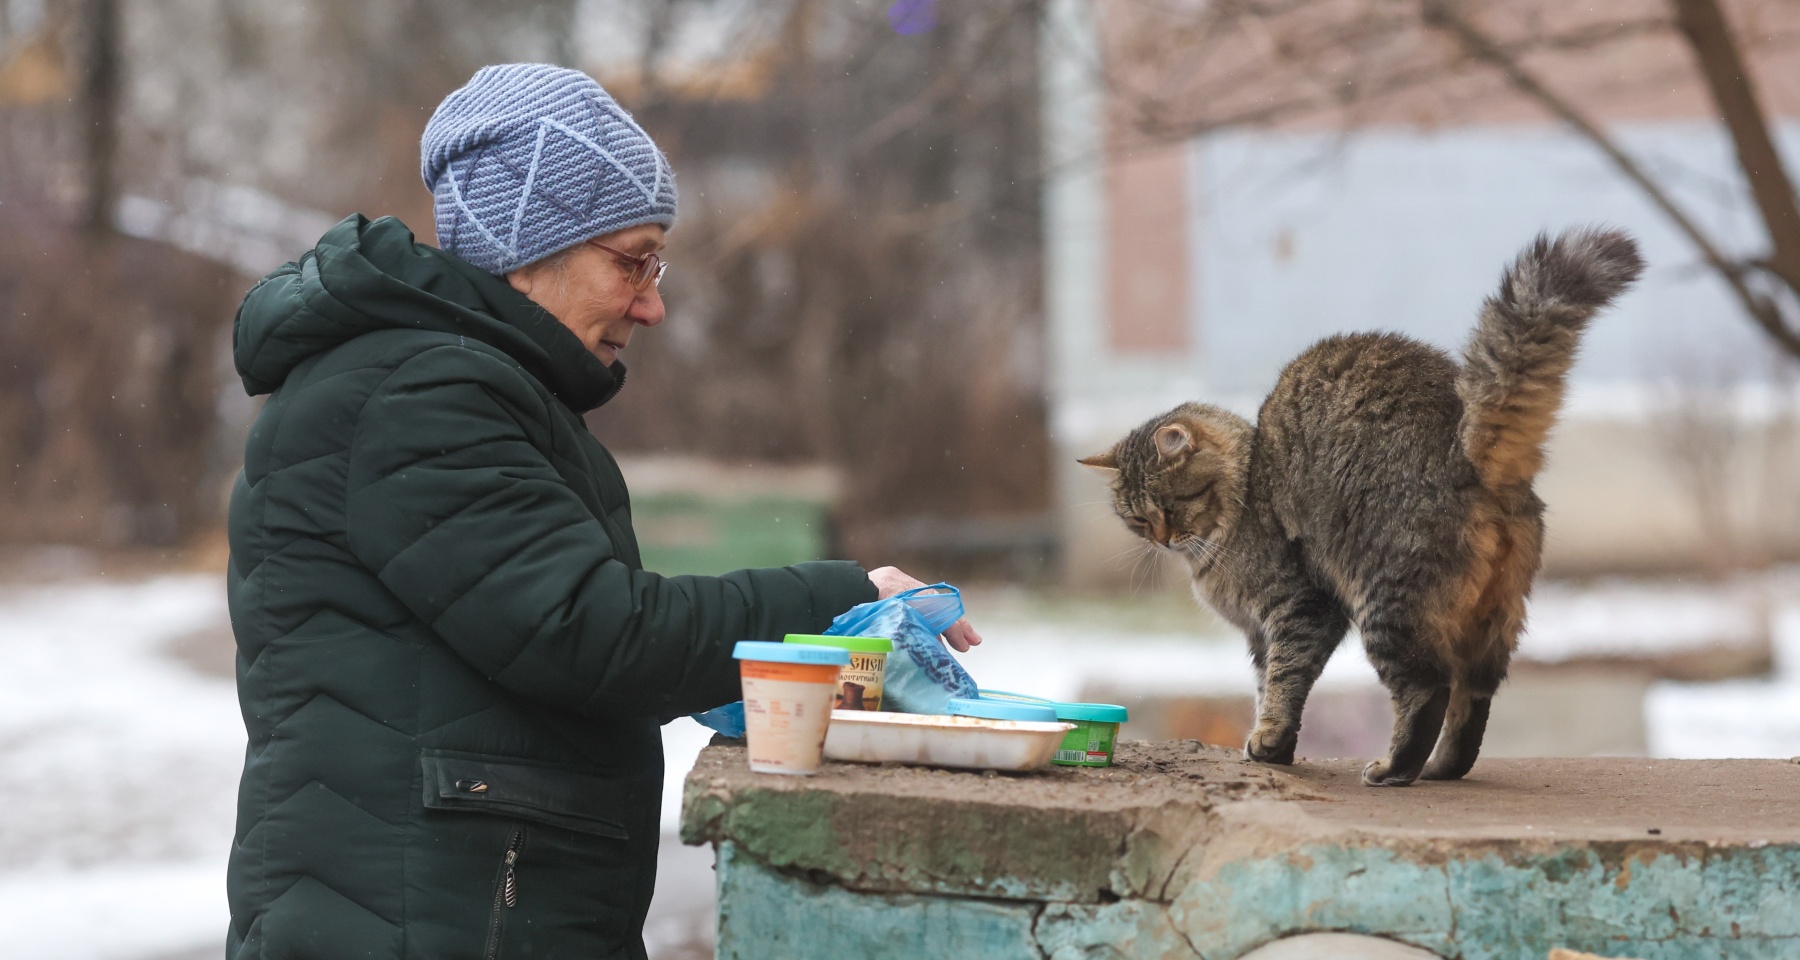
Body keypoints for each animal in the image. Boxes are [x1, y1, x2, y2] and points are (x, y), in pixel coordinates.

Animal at [1080, 228, 1648, 781]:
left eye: (1171, 505)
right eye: (1137, 518)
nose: (1161, 539)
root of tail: (1465, 449)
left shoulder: (1303, 608)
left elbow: (1283, 680)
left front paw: (1270, 740)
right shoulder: (1263, 633)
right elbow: (1267, 684)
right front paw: (1275, 746)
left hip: (1386, 604)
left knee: (1428, 690)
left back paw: (1394, 769)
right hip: (1492, 621)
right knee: (1472, 702)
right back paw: (1441, 768)